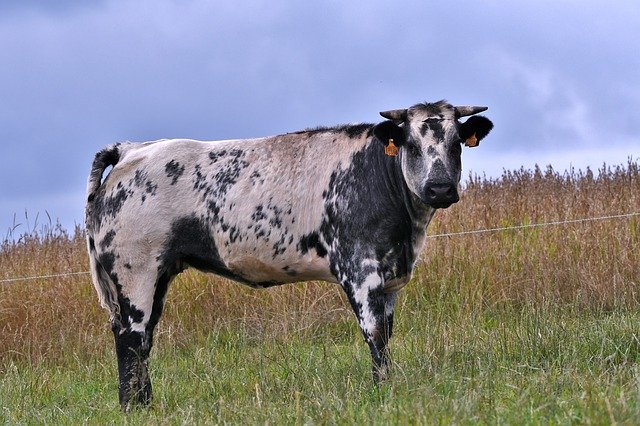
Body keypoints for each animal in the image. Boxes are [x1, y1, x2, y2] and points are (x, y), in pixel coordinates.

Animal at [85, 99, 496, 410]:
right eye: (410, 143)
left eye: (457, 142)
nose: (440, 188)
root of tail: (132, 149)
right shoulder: (361, 271)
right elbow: (376, 335)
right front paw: (383, 394)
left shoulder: (390, 278)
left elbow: (388, 333)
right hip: (136, 271)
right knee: (132, 337)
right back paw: (134, 407)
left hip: (158, 274)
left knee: (144, 338)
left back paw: (144, 404)